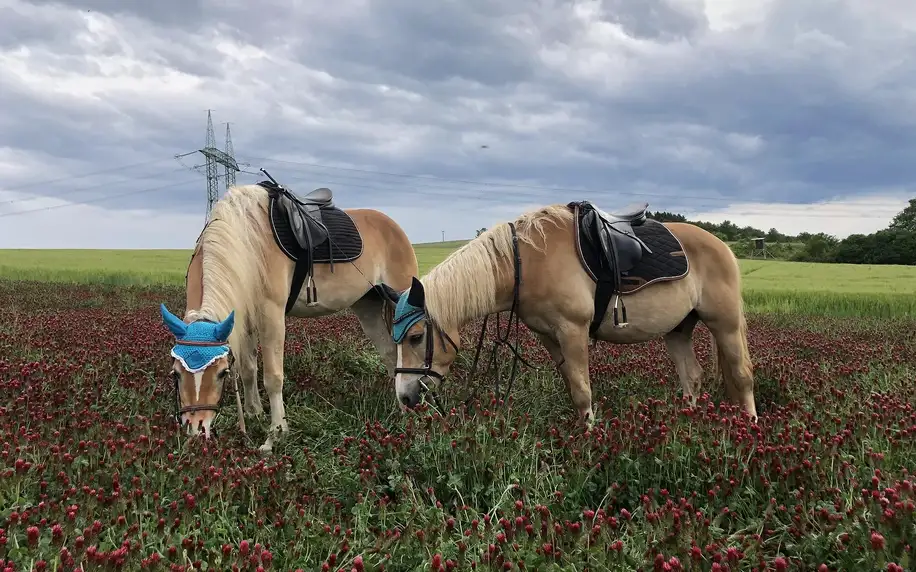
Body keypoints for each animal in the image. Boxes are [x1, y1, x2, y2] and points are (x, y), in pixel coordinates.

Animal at [159, 179, 416, 452]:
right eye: (176, 373)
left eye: (220, 373)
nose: (197, 429)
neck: (248, 242)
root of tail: (395, 227)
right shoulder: (246, 317)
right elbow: (248, 368)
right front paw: (253, 412)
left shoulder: (271, 314)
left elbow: (273, 377)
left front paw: (276, 434)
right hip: (368, 306)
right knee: (390, 353)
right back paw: (400, 407)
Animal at [378, 201, 760, 428]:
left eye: (416, 337)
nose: (404, 398)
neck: (525, 263)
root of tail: (723, 246)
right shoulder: (550, 337)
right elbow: (571, 387)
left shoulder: (572, 330)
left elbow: (582, 391)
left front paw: (589, 440)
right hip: (679, 329)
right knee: (691, 377)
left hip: (725, 323)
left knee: (742, 376)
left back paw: (752, 428)